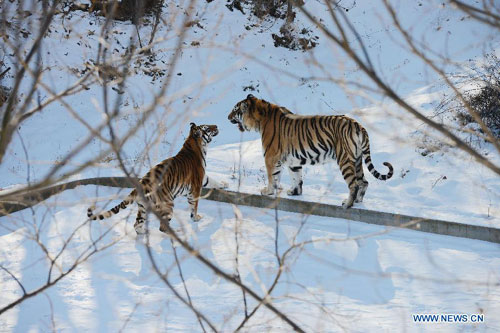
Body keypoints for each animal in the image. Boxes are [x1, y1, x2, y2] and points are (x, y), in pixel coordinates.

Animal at [87, 122, 228, 233]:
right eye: (207, 128)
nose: (216, 126)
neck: (196, 145)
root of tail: (140, 184)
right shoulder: (195, 187)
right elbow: (194, 206)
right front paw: (196, 218)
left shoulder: (203, 178)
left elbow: (212, 181)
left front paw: (224, 184)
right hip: (168, 203)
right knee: (162, 227)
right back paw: (177, 233)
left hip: (143, 208)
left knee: (137, 224)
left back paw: (144, 234)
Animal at [229, 94, 392, 208]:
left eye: (235, 110)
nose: (227, 116)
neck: (260, 119)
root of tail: (358, 125)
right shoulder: (293, 159)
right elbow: (296, 177)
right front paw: (294, 193)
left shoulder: (271, 157)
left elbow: (272, 177)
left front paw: (268, 191)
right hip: (357, 159)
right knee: (364, 182)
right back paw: (358, 201)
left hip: (345, 159)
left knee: (354, 184)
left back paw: (347, 204)